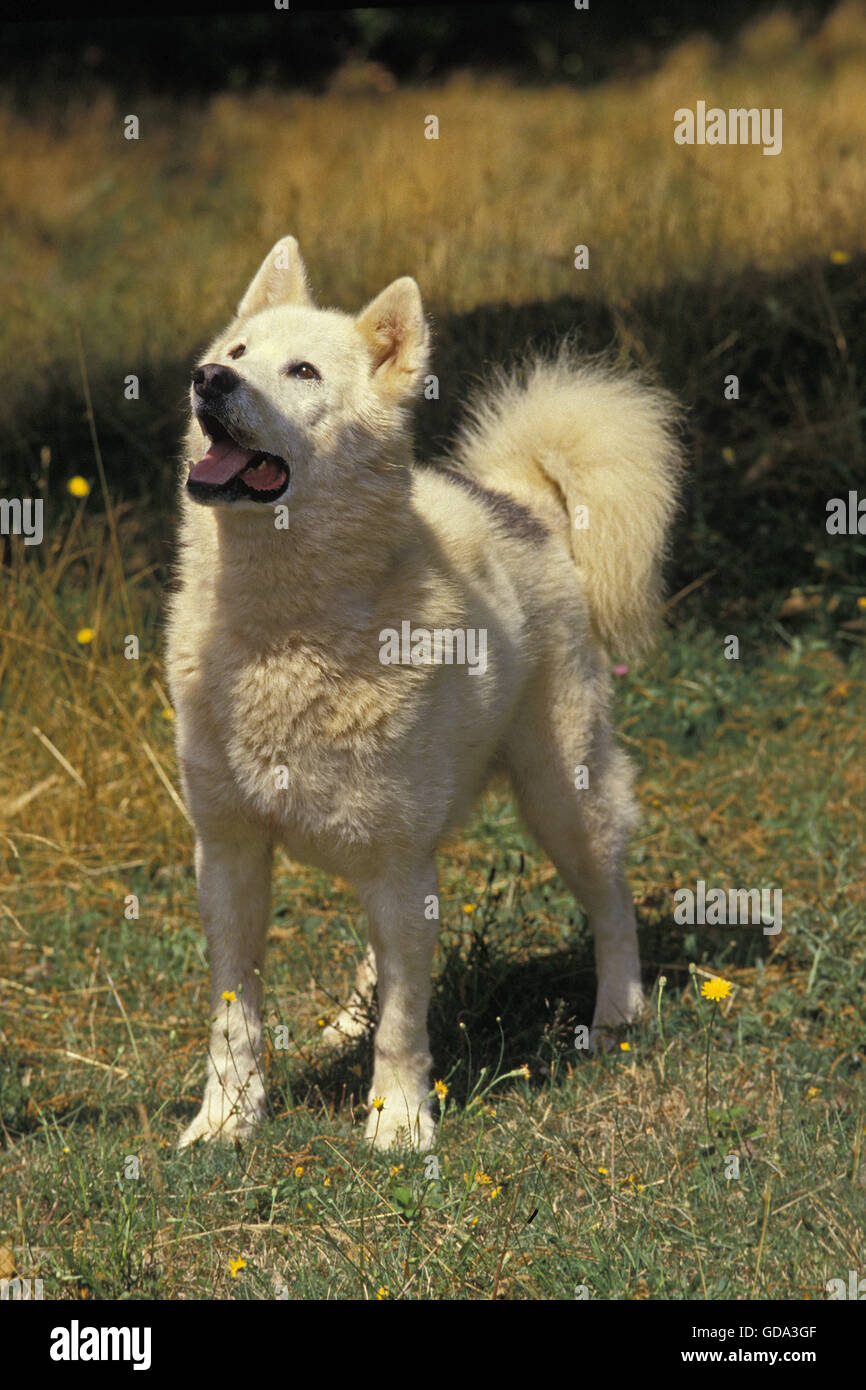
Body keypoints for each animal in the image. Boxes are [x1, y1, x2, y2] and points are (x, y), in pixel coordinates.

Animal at [166, 239, 683, 1150]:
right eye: (236, 353)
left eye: (302, 371)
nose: (210, 381)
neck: (283, 633)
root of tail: (523, 505)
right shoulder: (229, 854)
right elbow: (236, 1015)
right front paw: (226, 1123)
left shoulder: (400, 864)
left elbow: (407, 1024)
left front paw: (399, 1125)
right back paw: (345, 1020)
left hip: (562, 799)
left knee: (612, 902)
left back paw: (618, 1015)